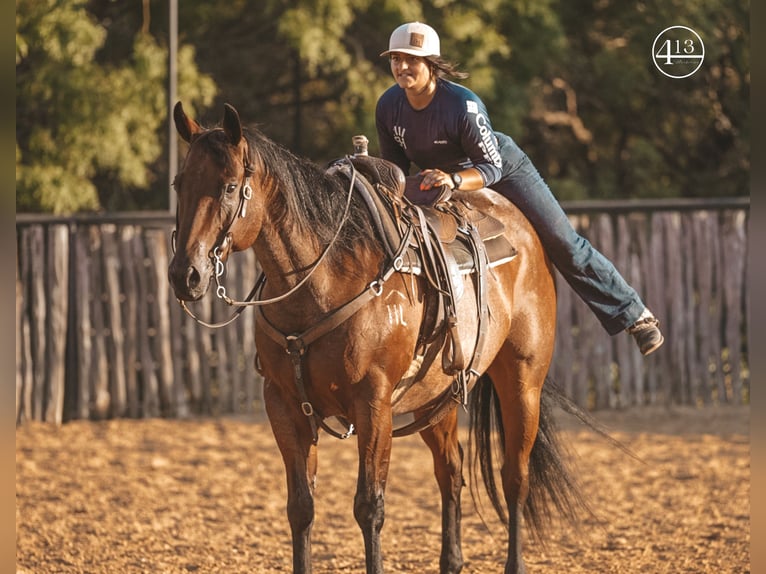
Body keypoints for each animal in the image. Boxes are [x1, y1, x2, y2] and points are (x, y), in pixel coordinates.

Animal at [170, 103, 588, 574]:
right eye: (179, 183)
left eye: (228, 187)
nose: (185, 275)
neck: (324, 279)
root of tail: (523, 230)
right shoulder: (282, 403)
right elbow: (301, 506)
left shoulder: (373, 404)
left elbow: (369, 506)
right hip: (436, 397)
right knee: (451, 469)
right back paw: (451, 560)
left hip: (522, 381)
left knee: (515, 477)